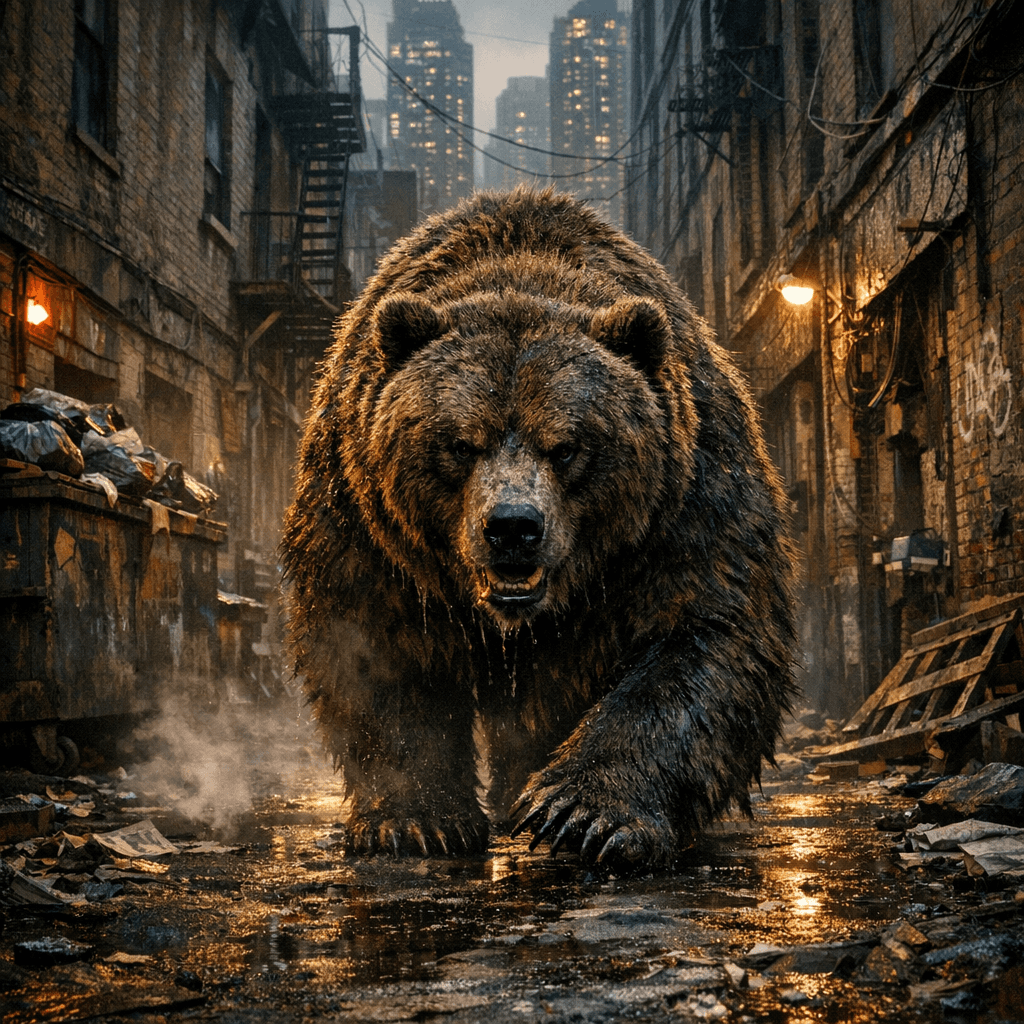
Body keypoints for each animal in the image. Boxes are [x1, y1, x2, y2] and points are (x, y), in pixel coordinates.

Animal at [282, 187, 797, 872]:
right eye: (460, 443)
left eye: (567, 445)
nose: (512, 527)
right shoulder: (366, 524)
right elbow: (372, 648)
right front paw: (417, 820)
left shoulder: (682, 506)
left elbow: (707, 631)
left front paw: (583, 813)